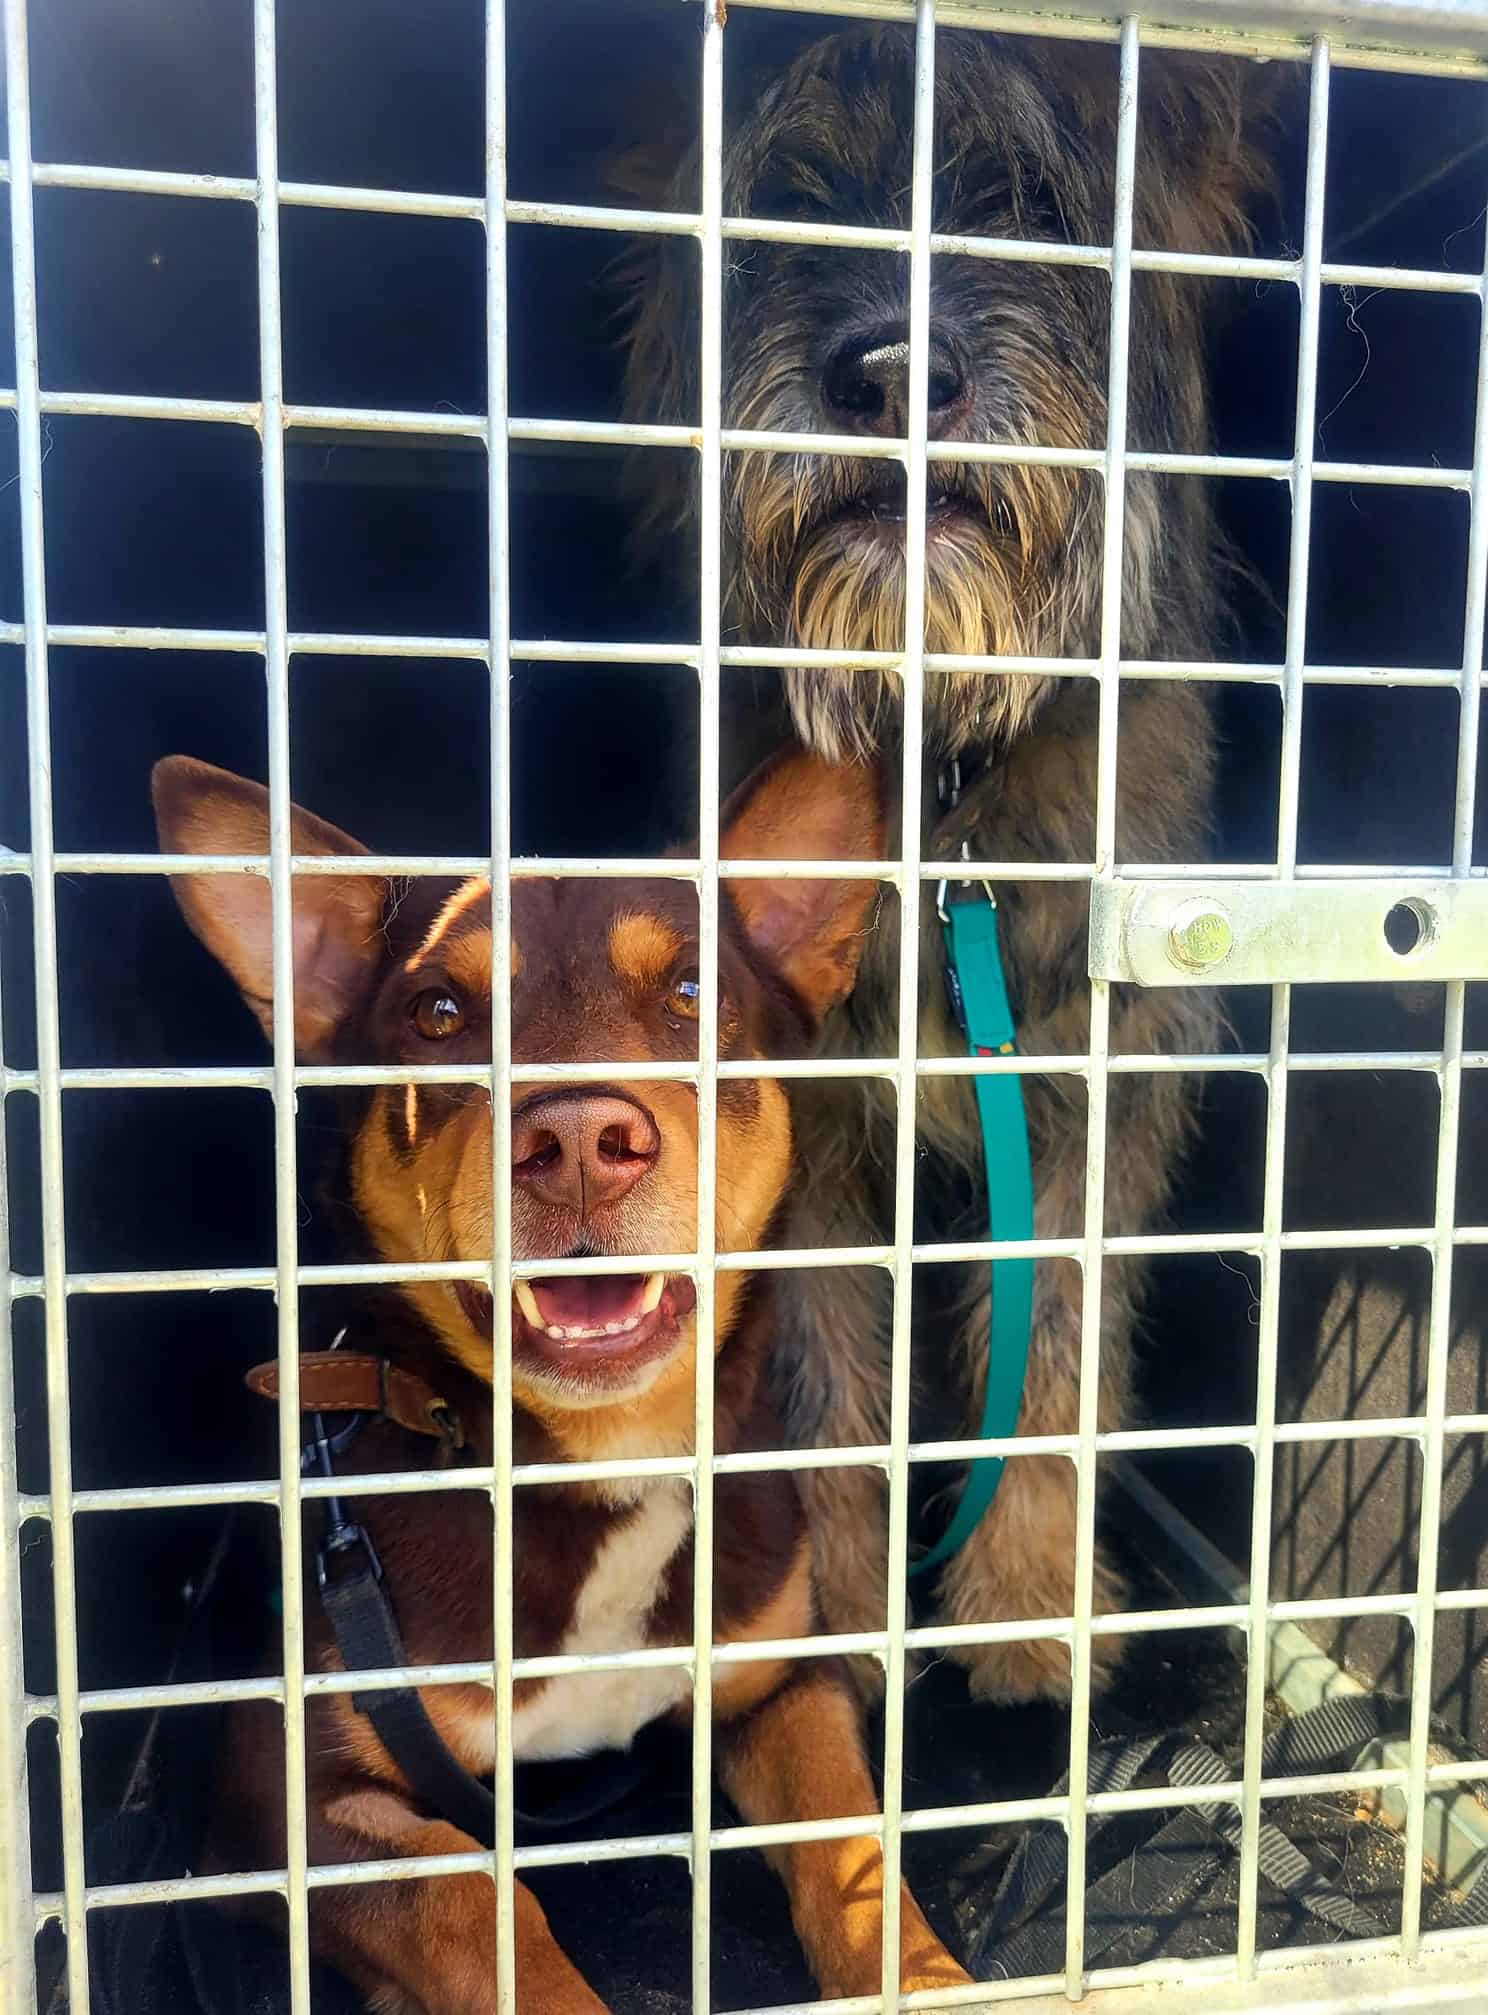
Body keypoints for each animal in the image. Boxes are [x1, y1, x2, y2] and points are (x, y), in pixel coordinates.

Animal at [152, 748, 971, 2011]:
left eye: (693, 991)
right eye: (439, 1015)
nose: (581, 1141)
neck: (601, 1459)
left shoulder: (782, 1679)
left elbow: (853, 1844)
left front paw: (929, 1976)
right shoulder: (278, 1800)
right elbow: (467, 1894)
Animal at [620, 26, 1274, 1703]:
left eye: (1028, 201)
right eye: (788, 203)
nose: (894, 373)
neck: (938, 769)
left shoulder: (1091, 1089)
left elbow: (1055, 1361)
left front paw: (1031, 1604)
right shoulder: (802, 1131)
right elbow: (825, 1390)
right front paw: (843, 1624)